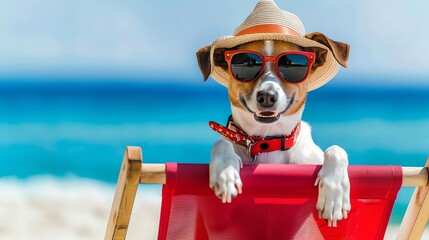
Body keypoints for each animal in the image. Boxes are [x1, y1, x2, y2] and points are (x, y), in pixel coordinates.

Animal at [196, 0, 350, 229]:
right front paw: (226, 171)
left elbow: (336, 150)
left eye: (290, 64)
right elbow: (222, 142)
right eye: (246, 64)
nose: (267, 96)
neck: (268, 141)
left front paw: (335, 192)